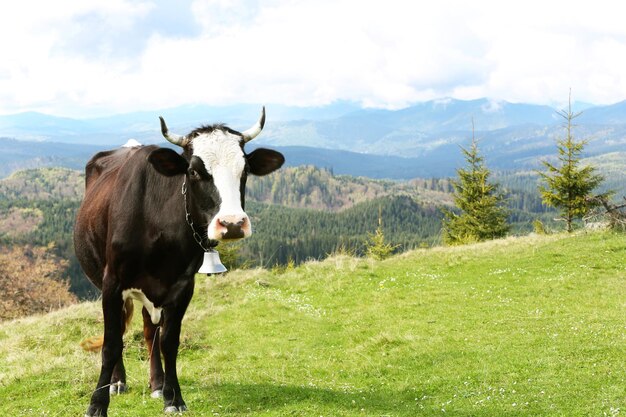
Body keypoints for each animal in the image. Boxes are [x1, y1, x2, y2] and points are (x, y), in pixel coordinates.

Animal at [73, 108, 286, 416]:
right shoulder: (112, 284)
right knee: (123, 331)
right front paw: (98, 403)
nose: (232, 224)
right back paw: (118, 381)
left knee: (149, 331)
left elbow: (169, 342)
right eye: (194, 171)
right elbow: (111, 343)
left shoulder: (182, 287)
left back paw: (157, 383)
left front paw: (173, 397)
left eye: (244, 171)